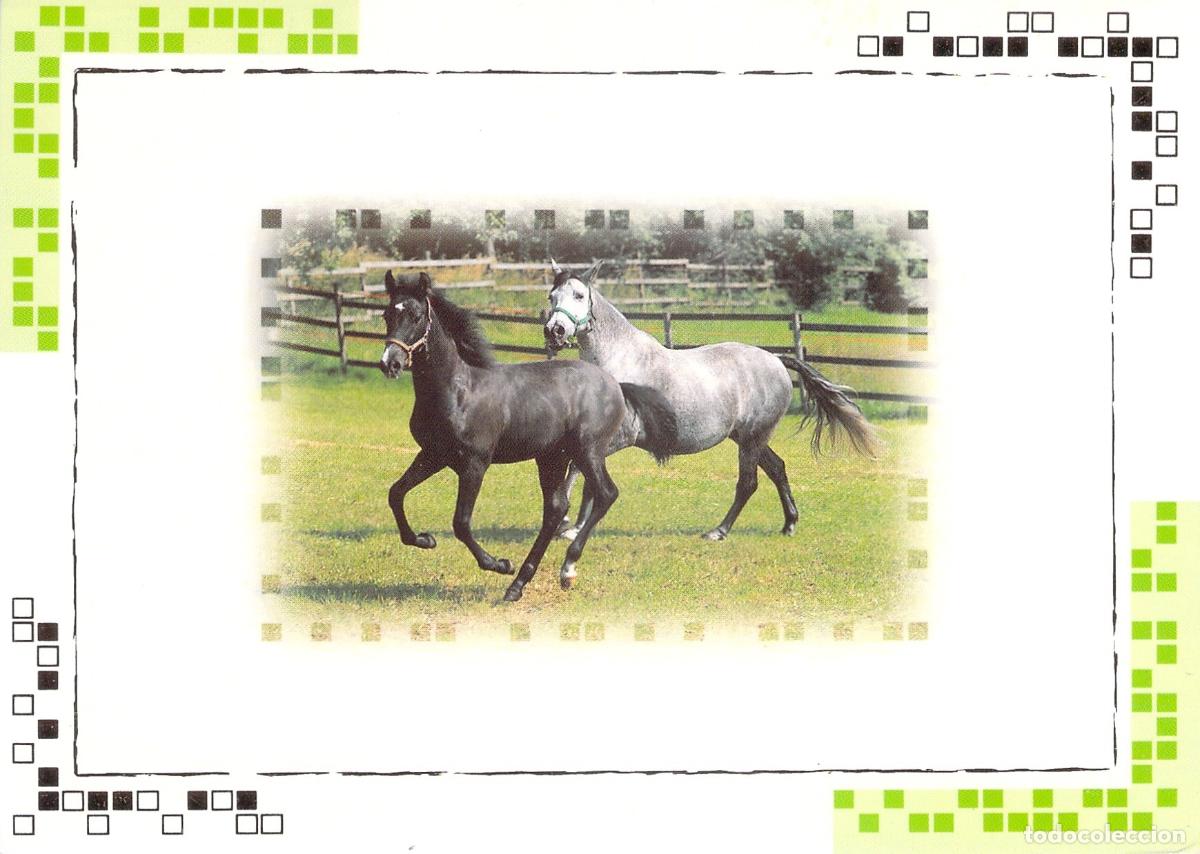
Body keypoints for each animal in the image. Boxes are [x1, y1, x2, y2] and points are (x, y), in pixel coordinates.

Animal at [378, 270, 676, 601]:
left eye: (416, 316)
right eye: (387, 314)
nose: (390, 363)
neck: (459, 389)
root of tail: (615, 384)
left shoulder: (474, 464)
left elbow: (461, 523)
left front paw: (499, 564)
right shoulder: (433, 455)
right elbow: (396, 493)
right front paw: (424, 539)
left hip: (588, 452)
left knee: (605, 494)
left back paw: (561, 569)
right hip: (551, 458)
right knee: (556, 509)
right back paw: (519, 584)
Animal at [544, 260, 881, 541]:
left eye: (578, 295)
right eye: (551, 296)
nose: (555, 331)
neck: (618, 359)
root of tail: (775, 359)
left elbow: (581, 472)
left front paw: (570, 526)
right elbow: (582, 473)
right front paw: (571, 524)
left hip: (751, 439)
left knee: (748, 483)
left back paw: (719, 531)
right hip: (748, 437)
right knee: (777, 468)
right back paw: (789, 524)